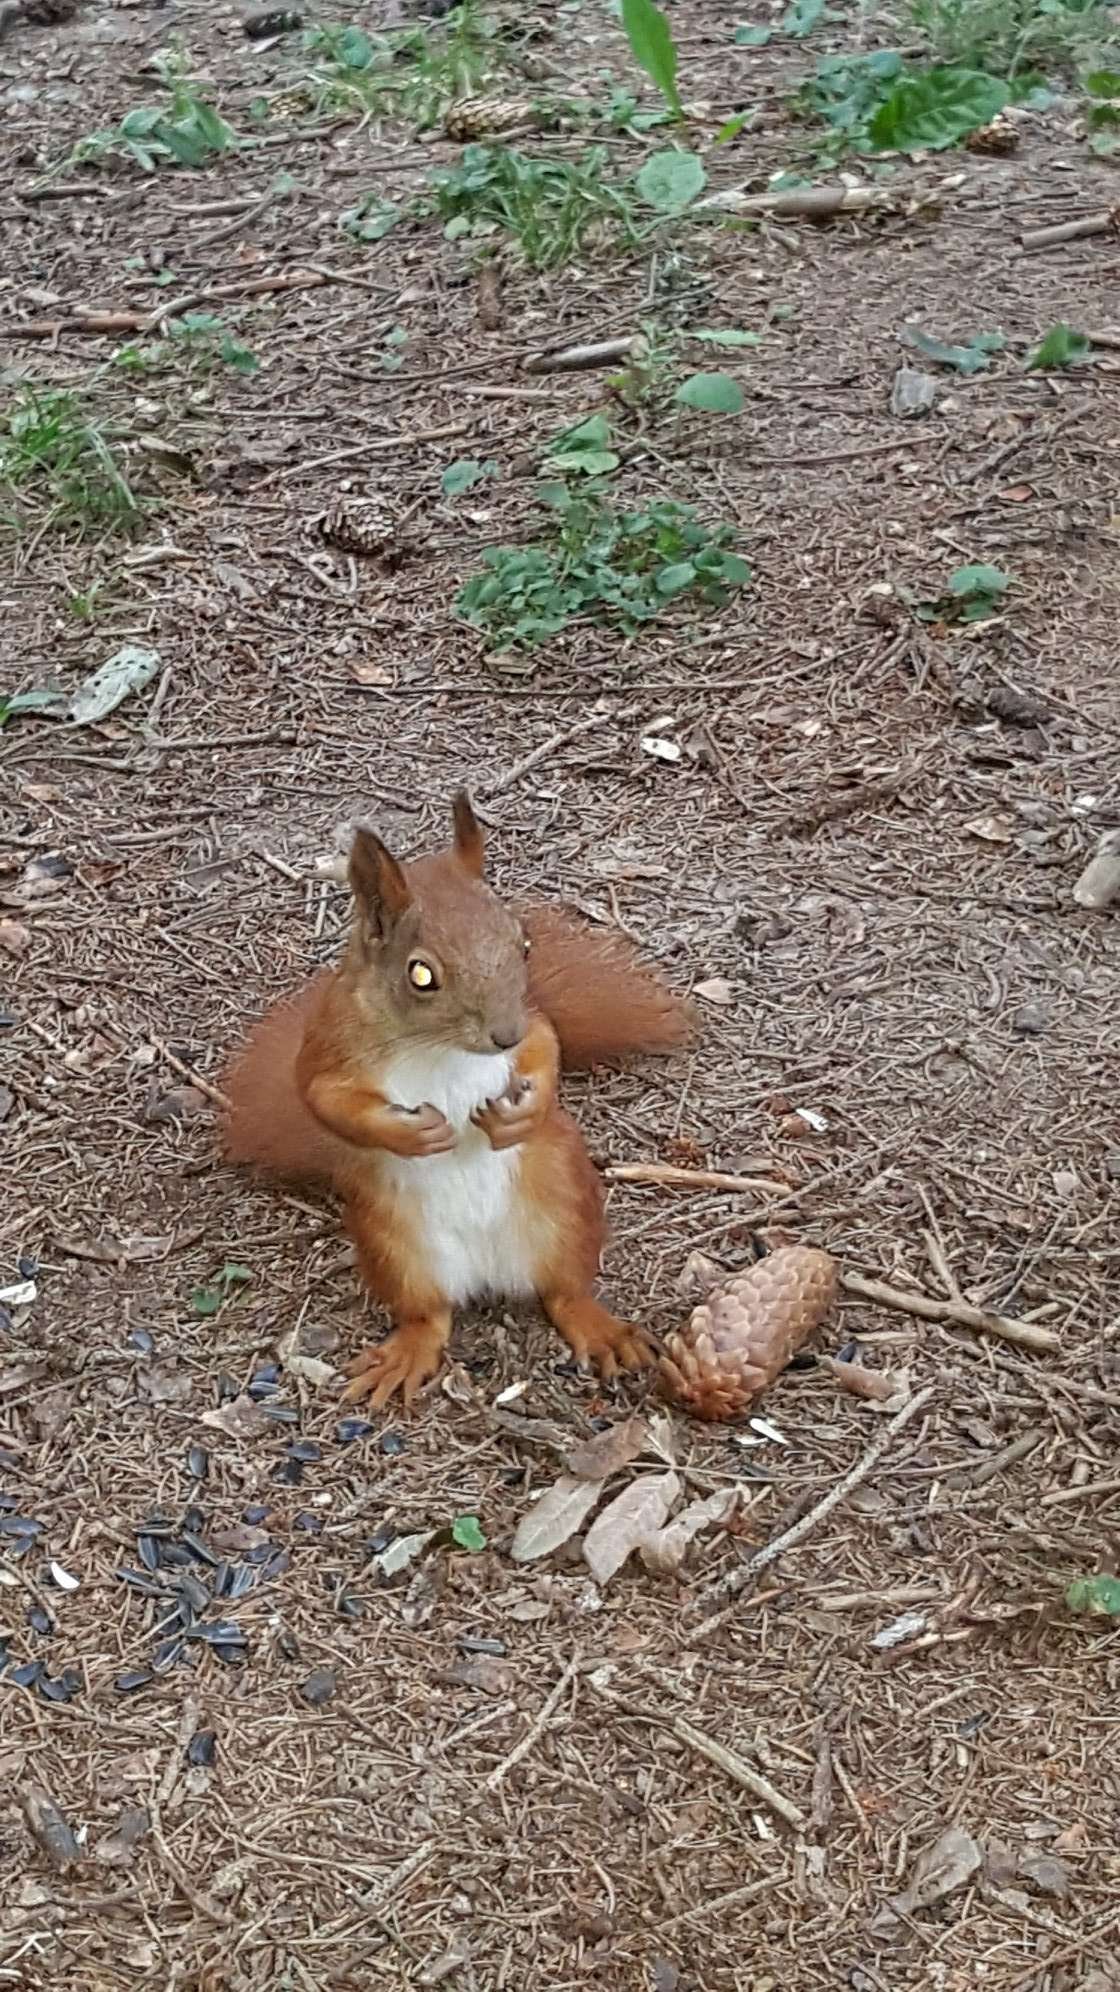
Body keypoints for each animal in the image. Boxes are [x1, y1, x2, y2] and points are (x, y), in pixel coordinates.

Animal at [222, 793, 691, 1408]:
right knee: (430, 1316)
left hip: (566, 1202)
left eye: (523, 944)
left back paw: (599, 1328)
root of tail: (488, 1271)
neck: (437, 1046)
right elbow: (320, 1097)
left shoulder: (531, 1023)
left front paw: (524, 1111)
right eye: (421, 974)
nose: (503, 1035)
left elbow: (545, 1044)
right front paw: (414, 1134)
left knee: (564, 1292)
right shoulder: (328, 1043)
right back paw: (409, 1351)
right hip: (393, 1244)